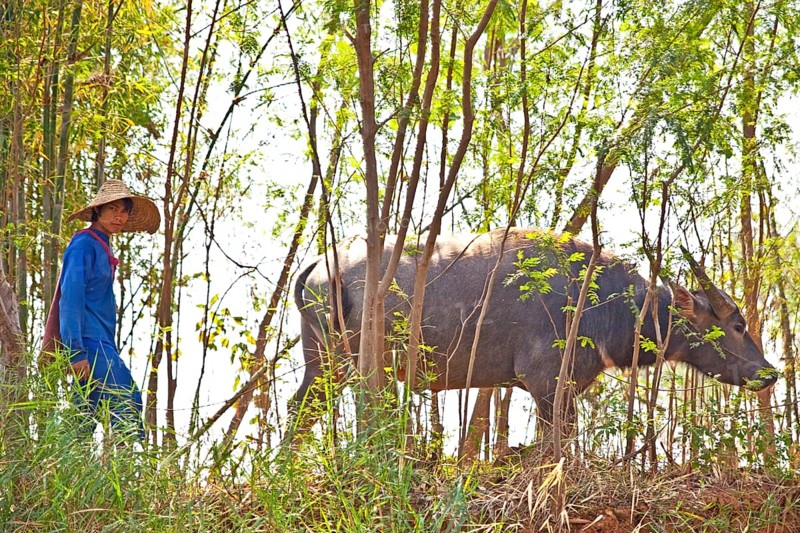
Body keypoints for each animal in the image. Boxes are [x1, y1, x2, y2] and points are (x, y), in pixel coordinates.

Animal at [291, 228, 776, 431]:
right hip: (348, 368)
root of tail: (322, 266)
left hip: (323, 368)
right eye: (737, 324)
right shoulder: (546, 384)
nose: (769, 372)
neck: (600, 301)